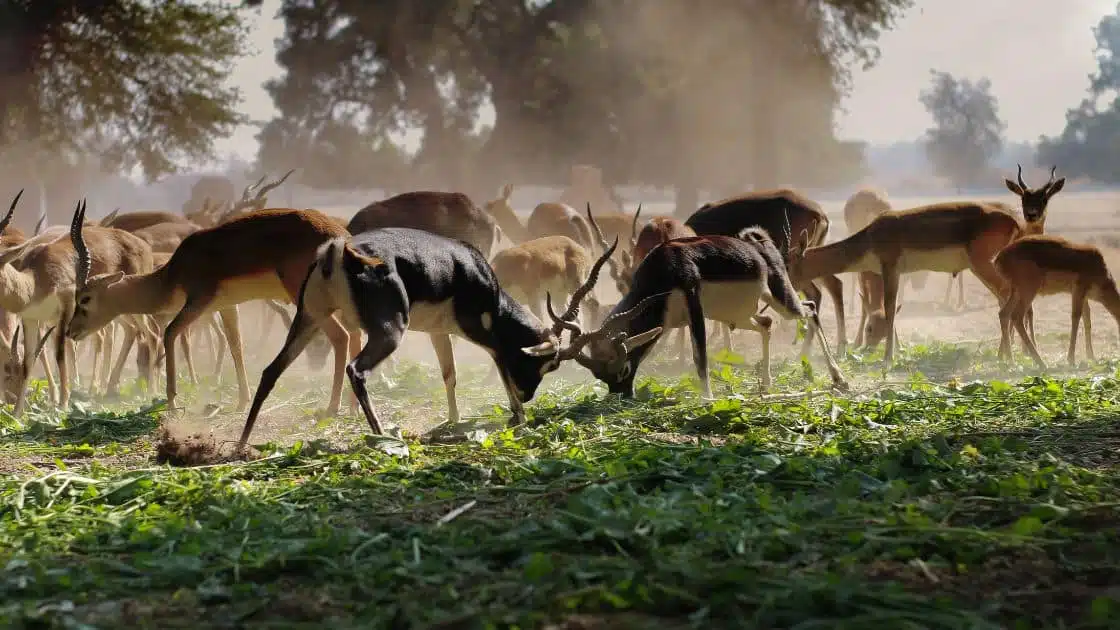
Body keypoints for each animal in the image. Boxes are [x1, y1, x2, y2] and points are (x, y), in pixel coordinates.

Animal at [63, 205, 358, 412]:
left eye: (85, 298)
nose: (70, 331)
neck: (172, 274)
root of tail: (339, 236)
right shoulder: (227, 306)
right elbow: (235, 344)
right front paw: (242, 401)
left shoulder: (199, 301)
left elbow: (170, 333)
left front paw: (171, 402)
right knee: (355, 334)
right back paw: (352, 406)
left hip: (308, 300)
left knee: (341, 336)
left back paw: (333, 408)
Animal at [551, 226, 846, 396]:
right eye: (599, 376)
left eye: (622, 370)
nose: (621, 396)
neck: (664, 269)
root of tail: (758, 244)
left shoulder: (694, 305)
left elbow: (700, 357)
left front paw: (707, 400)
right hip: (737, 315)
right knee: (766, 323)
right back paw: (767, 383)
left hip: (781, 298)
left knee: (810, 309)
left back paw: (839, 378)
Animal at [788, 198, 1025, 360]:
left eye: (788, 262)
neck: (870, 238)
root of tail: (1013, 220)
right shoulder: (891, 273)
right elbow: (890, 307)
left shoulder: (889, 268)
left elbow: (890, 307)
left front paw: (888, 358)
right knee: (1006, 299)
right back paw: (1005, 354)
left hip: (982, 266)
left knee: (1007, 297)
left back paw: (1008, 356)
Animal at [994, 234, 1115, 367]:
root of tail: (998, 258)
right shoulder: (1079, 290)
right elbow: (1076, 317)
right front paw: (1071, 359)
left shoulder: (1082, 296)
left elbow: (1086, 318)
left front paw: (1091, 357)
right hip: (1028, 291)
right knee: (1016, 316)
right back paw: (1041, 362)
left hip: (1016, 292)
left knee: (1004, 314)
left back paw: (1011, 362)